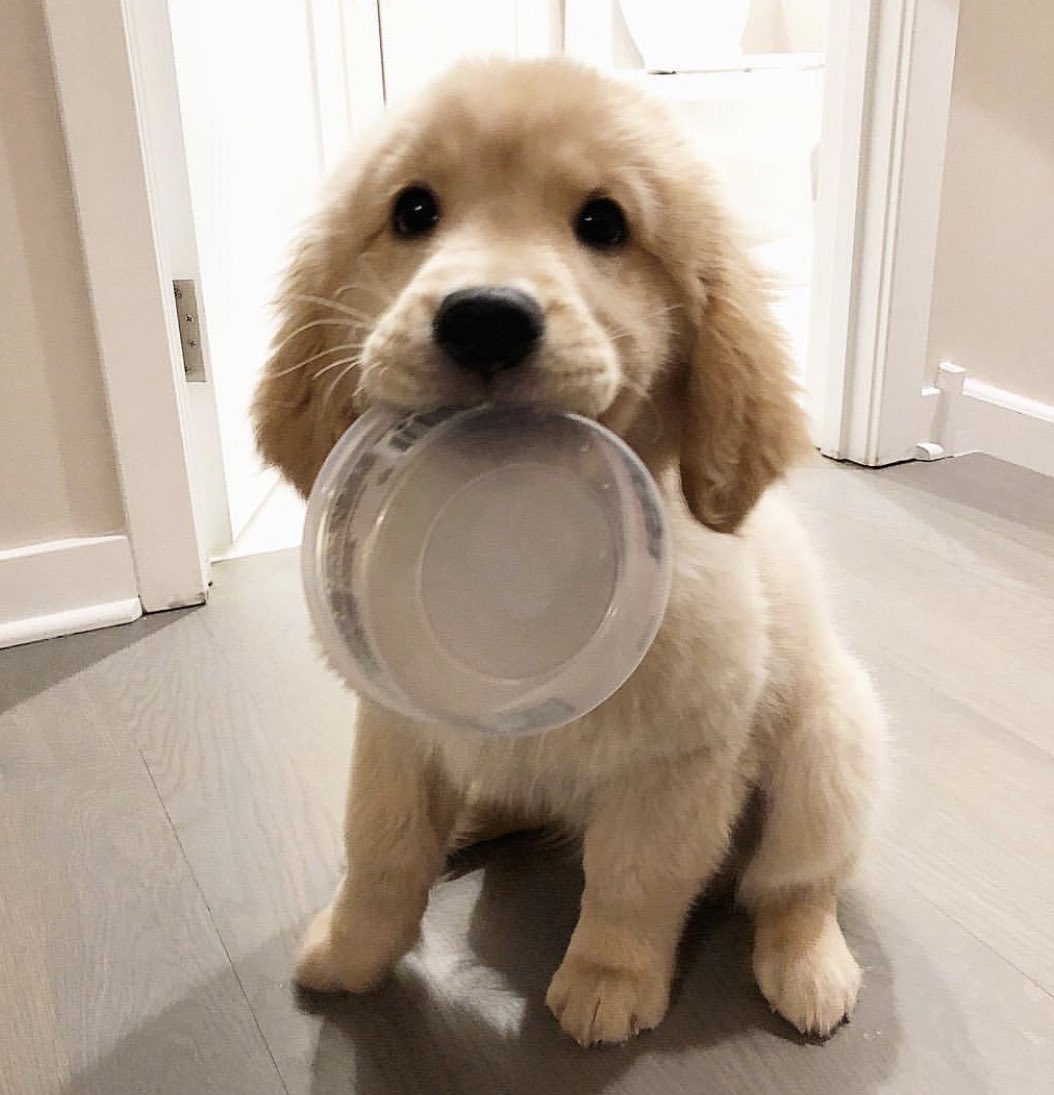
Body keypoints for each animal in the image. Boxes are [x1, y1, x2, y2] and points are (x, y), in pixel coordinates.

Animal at [253, 57, 879, 1042]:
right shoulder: (394, 726)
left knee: (793, 881)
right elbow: (381, 844)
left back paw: (808, 963)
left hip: (833, 745)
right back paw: (474, 817)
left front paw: (608, 978)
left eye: (604, 224)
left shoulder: (679, 762)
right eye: (413, 210)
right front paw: (352, 949)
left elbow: (633, 879)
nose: (485, 319)